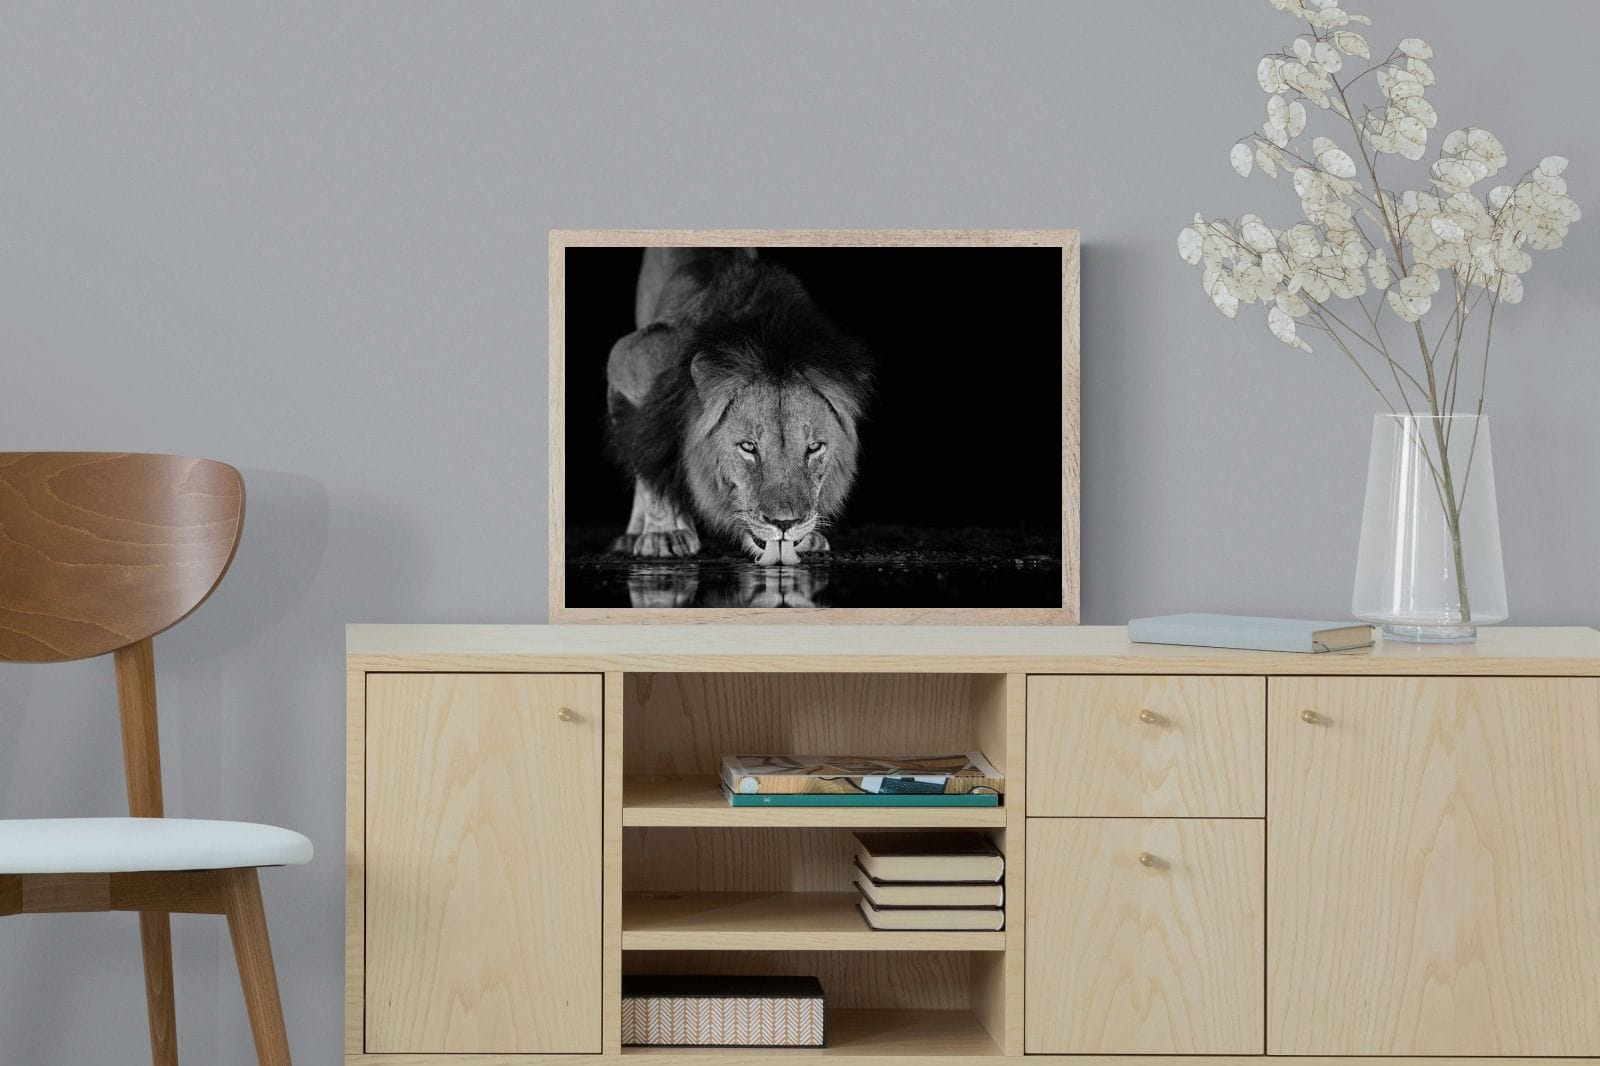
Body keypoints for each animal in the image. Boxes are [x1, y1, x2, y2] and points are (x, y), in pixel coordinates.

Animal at [603, 248, 872, 565]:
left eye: (814, 448)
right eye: (748, 447)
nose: (784, 524)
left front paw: (808, 538)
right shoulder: (629, 360)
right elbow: (650, 454)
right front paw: (663, 534)